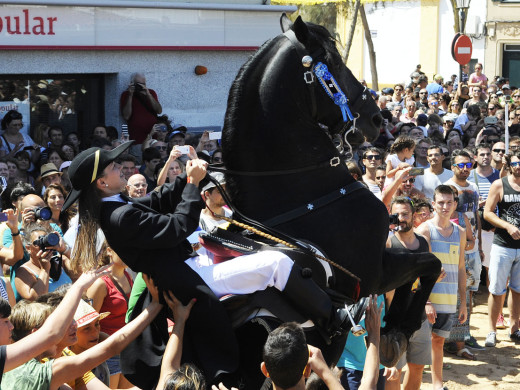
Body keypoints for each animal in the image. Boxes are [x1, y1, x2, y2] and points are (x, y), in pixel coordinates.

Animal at [218, 13, 438, 382]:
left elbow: (426, 262)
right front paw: (400, 324)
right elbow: (430, 262)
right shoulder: (375, 273)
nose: (376, 117)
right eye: (334, 62)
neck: (303, 194)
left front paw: (395, 325)